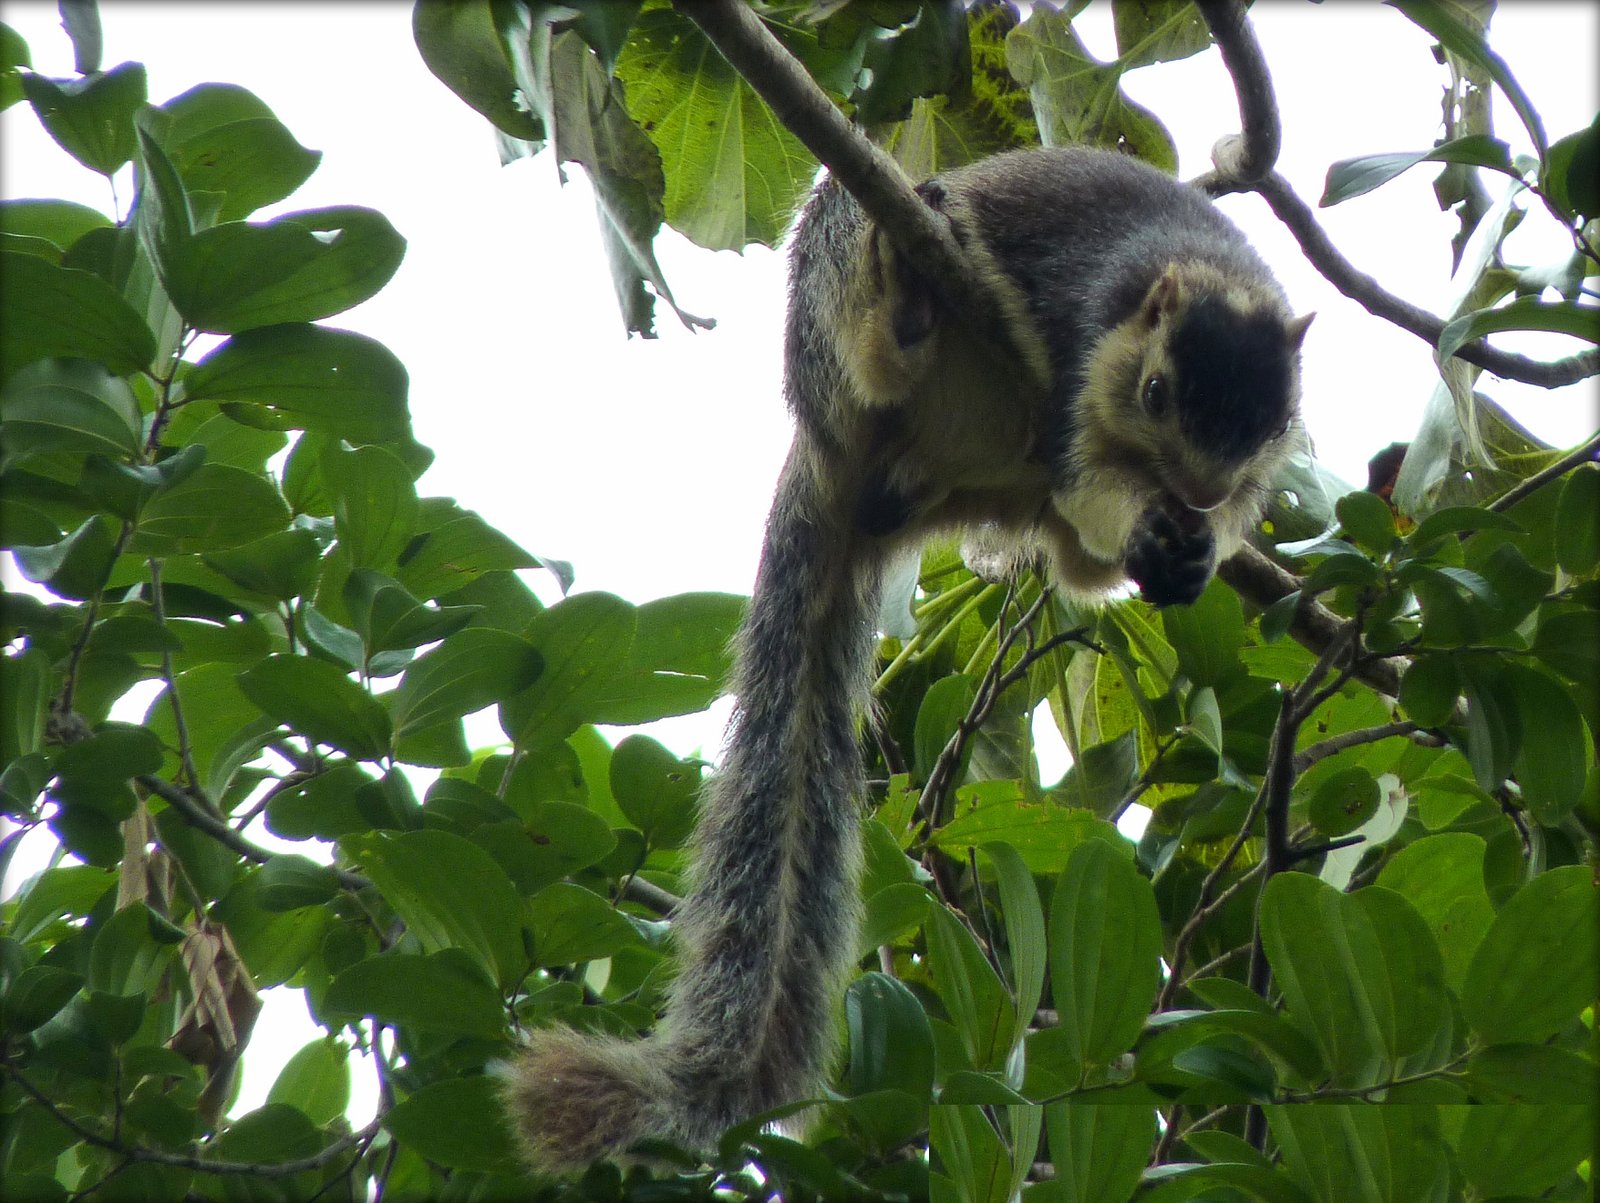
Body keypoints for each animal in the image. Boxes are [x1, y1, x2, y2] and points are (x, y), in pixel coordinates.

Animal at [502, 145, 1312, 1171]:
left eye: (1269, 422)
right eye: (1160, 394)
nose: (1198, 490)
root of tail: (834, 455)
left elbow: (1128, 530)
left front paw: (1193, 545)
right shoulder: (1083, 356)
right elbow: (1090, 477)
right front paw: (1148, 524)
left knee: (1074, 562)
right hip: (842, 285)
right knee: (879, 349)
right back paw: (906, 301)